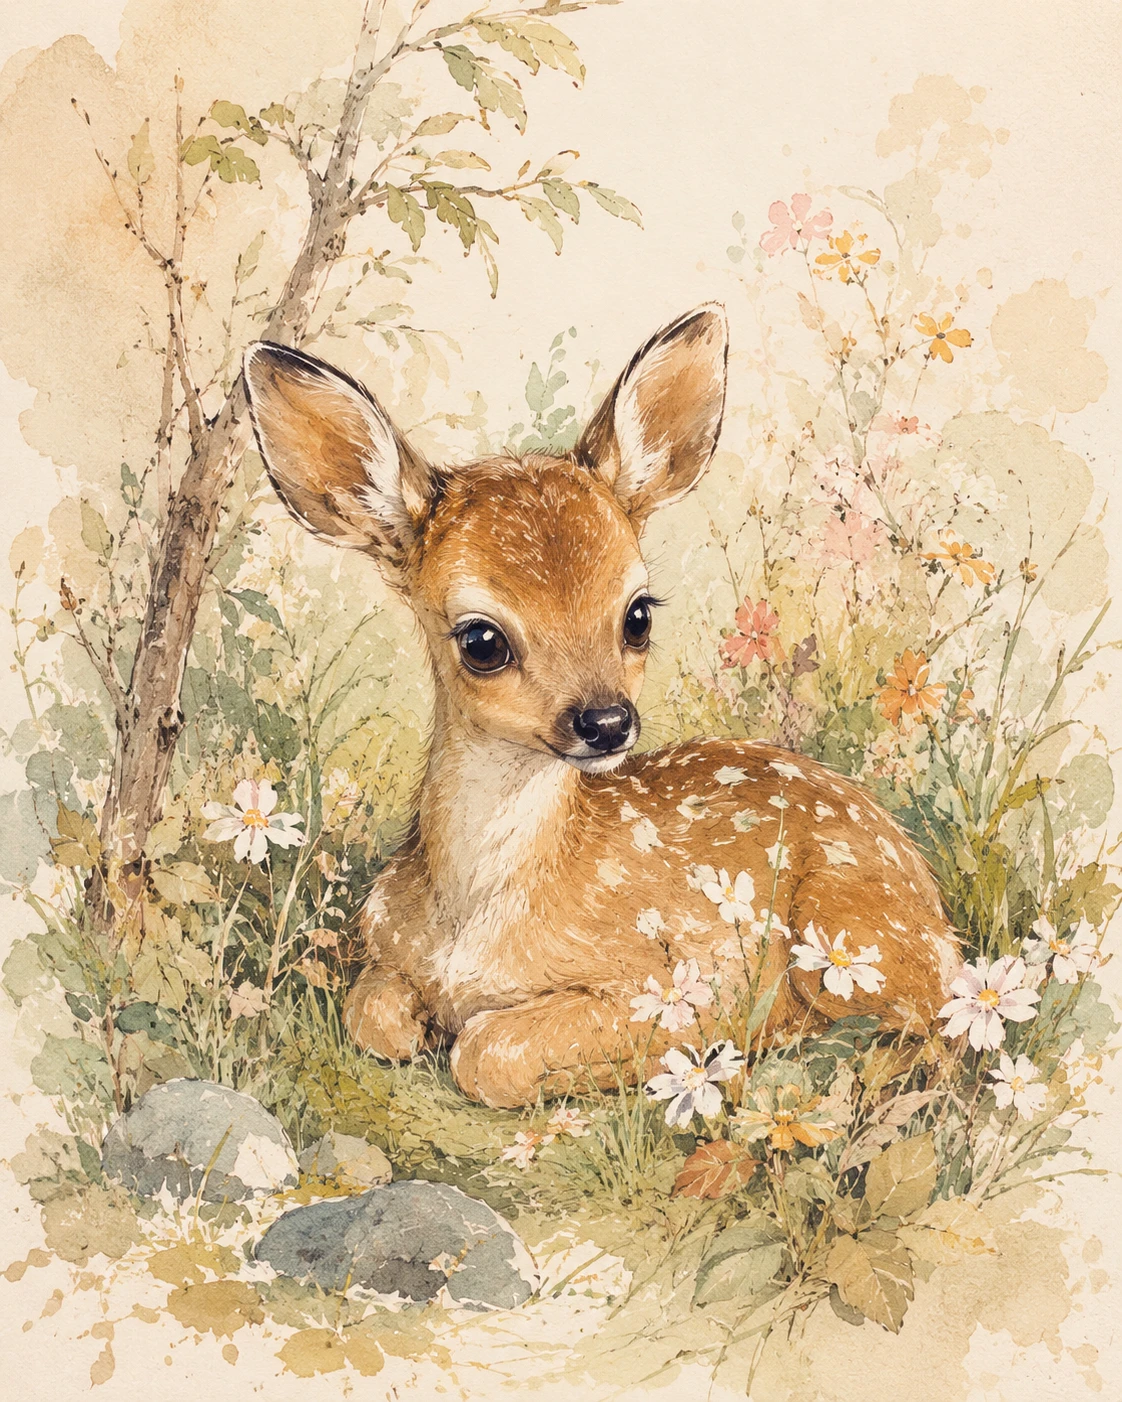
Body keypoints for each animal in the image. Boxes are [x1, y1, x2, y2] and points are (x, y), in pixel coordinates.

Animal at [243, 305, 958, 1109]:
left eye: (637, 615)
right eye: (481, 639)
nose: (607, 722)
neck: (476, 925)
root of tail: (927, 894)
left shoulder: (689, 975)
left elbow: (488, 1051)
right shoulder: (384, 952)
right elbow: (375, 1017)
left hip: (846, 931)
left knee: (938, 1026)